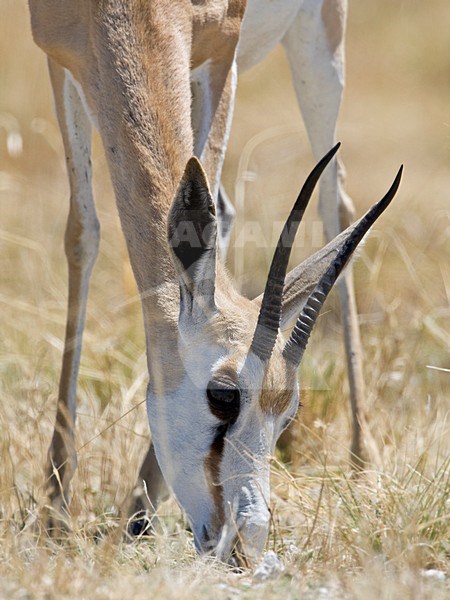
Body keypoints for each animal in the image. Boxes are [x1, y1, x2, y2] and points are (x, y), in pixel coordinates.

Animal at [28, 0, 400, 564]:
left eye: (288, 412)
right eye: (223, 396)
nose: (245, 543)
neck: (123, 12)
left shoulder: (220, 51)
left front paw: (140, 505)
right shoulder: (61, 56)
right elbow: (82, 233)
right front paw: (54, 511)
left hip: (321, 43)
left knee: (335, 205)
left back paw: (361, 458)